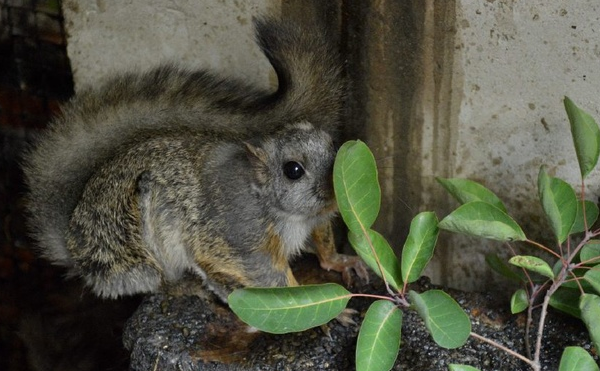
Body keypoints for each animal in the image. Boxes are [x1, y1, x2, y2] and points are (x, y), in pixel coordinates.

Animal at [22, 16, 366, 304]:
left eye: (334, 146)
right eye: (293, 170)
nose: (339, 189)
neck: (286, 212)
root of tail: (75, 244)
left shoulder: (317, 220)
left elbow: (323, 240)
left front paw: (339, 261)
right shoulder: (236, 236)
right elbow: (260, 277)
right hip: (136, 242)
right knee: (157, 281)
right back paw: (183, 287)